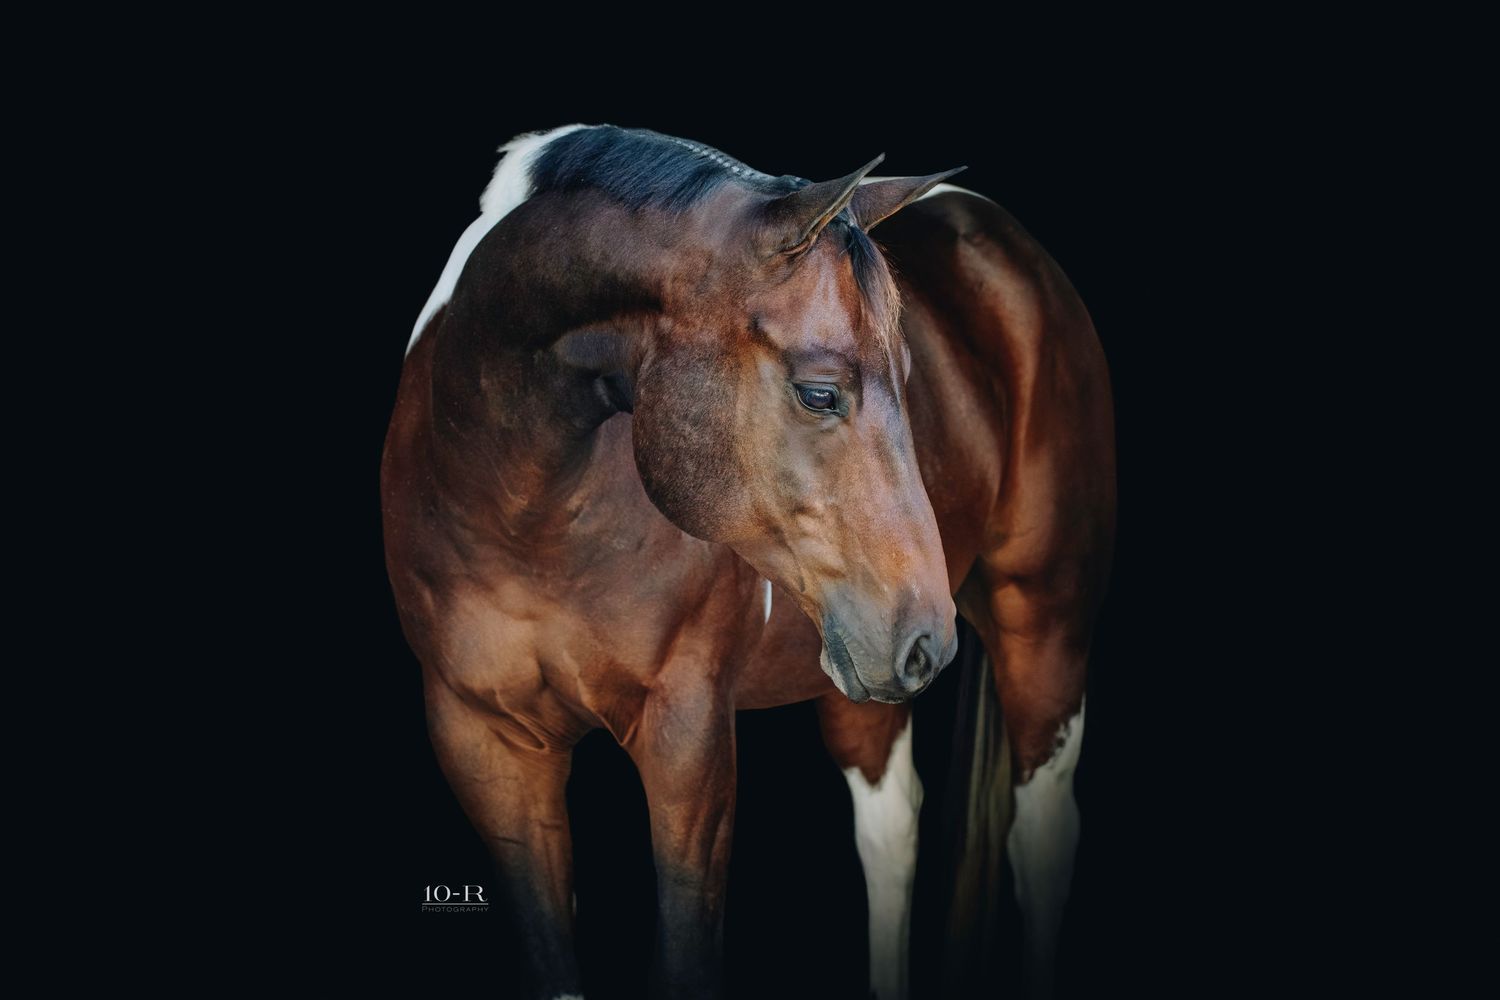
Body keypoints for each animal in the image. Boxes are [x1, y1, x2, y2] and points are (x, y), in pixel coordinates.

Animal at [382, 124, 1115, 999]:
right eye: (820, 393)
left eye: (911, 379)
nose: (927, 641)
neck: (522, 513)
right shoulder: (484, 746)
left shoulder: (688, 738)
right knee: (892, 831)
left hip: (1043, 620)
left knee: (1041, 843)